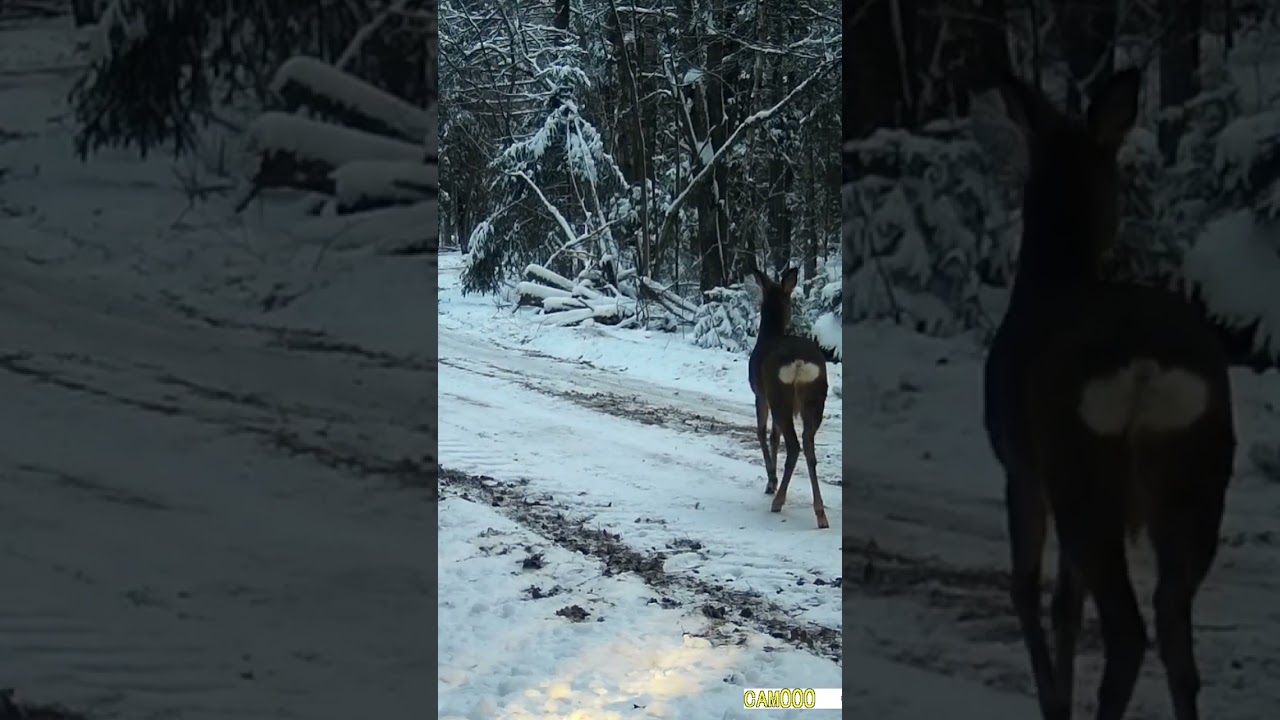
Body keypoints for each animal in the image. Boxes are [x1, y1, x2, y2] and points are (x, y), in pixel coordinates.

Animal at [747, 266, 830, 529]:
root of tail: (800, 362)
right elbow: (774, 436)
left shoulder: (759, 393)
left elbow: (763, 433)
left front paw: (771, 481)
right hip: (815, 399)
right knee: (809, 446)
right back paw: (820, 513)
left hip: (778, 393)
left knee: (794, 445)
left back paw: (778, 501)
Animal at [980, 68, 1236, 720]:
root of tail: (1144, 364)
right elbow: (1066, 605)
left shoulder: (1022, 467)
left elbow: (1027, 590)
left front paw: (1054, 702)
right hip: (1197, 478)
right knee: (1173, 630)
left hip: (1079, 468)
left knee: (1128, 631)